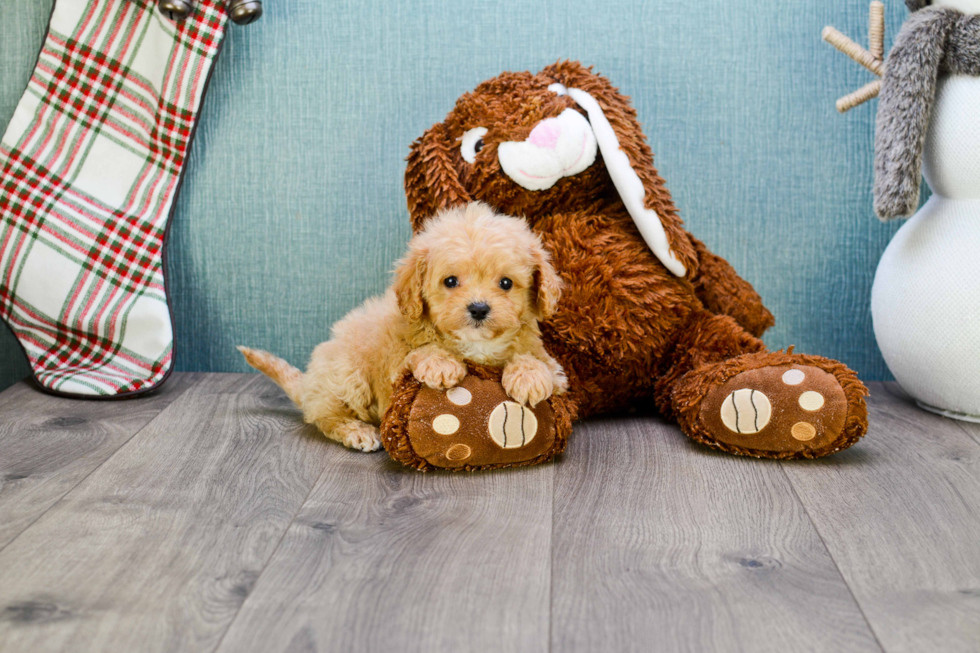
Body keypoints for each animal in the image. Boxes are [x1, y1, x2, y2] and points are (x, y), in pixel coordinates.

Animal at [238, 201, 572, 450]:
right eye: (450, 281)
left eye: (506, 283)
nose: (478, 308)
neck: (475, 344)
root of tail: (308, 384)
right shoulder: (396, 365)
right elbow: (419, 351)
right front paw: (440, 363)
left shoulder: (553, 367)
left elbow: (539, 362)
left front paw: (529, 377)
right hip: (347, 375)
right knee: (325, 416)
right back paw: (356, 430)